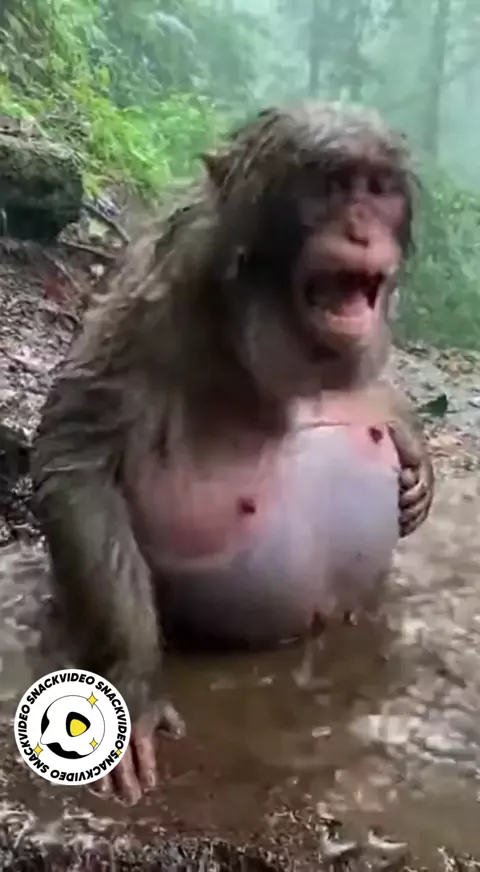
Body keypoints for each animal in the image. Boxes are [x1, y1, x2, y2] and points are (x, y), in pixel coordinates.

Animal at [30, 101, 434, 806]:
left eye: (377, 188)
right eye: (332, 186)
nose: (361, 228)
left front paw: (417, 468)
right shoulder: (166, 282)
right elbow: (76, 451)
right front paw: (135, 676)